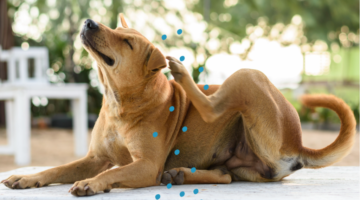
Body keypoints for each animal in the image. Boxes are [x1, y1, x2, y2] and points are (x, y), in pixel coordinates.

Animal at [1, 14, 356, 197]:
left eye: (126, 41)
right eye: (116, 29)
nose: (89, 22)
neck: (120, 102)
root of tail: (298, 143)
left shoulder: (146, 165)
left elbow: (113, 172)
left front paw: (92, 183)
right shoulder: (95, 158)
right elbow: (57, 169)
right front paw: (29, 178)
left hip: (248, 76)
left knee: (213, 107)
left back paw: (182, 74)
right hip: (242, 165)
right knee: (225, 176)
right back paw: (183, 174)